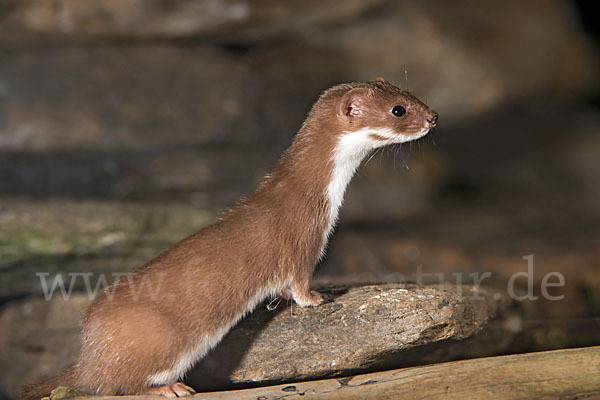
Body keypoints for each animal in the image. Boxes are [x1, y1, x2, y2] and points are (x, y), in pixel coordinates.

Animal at [23, 76, 436, 398]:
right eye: (399, 110)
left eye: (409, 91)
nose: (434, 117)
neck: (320, 197)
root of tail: (87, 354)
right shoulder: (303, 241)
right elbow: (299, 281)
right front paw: (318, 298)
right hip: (160, 340)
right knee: (112, 385)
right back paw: (168, 387)